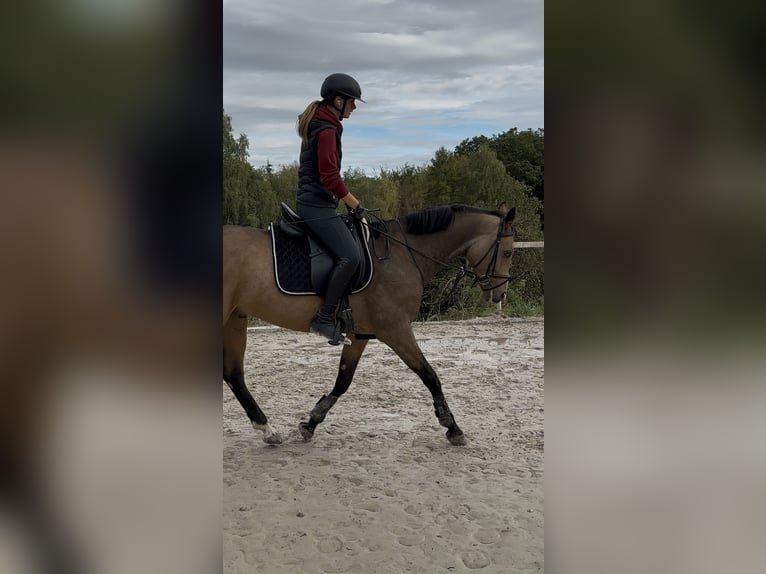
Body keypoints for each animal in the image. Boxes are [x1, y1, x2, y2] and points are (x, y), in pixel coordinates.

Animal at [225, 205, 520, 448]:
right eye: (507, 252)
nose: (500, 294)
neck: (403, 254)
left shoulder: (359, 335)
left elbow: (343, 380)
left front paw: (311, 423)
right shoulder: (397, 330)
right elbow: (430, 376)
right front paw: (452, 427)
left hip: (235, 319)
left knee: (234, 376)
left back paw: (268, 431)